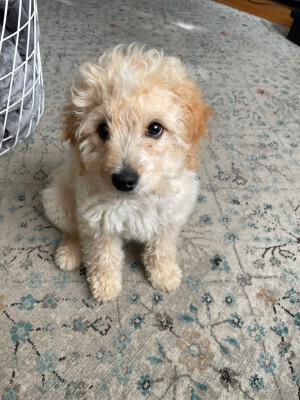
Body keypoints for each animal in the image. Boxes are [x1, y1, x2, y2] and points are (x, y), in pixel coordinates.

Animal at [42, 43, 211, 300]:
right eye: (103, 129)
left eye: (155, 128)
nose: (124, 180)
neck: (137, 201)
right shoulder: (99, 222)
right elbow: (103, 256)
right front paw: (105, 286)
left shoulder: (170, 217)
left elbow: (163, 248)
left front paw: (164, 274)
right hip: (58, 203)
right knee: (74, 231)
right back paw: (69, 253)